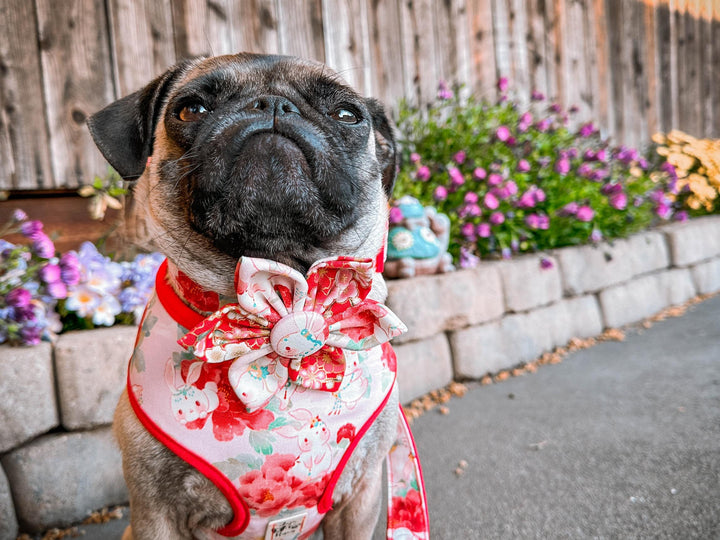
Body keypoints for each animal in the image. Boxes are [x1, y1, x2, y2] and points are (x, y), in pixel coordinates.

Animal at [87, 52, 402, 536]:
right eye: (190, 109)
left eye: (348, 115)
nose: (272, 104)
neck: (283, 280)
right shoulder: (156, 512)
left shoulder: (360, 496)